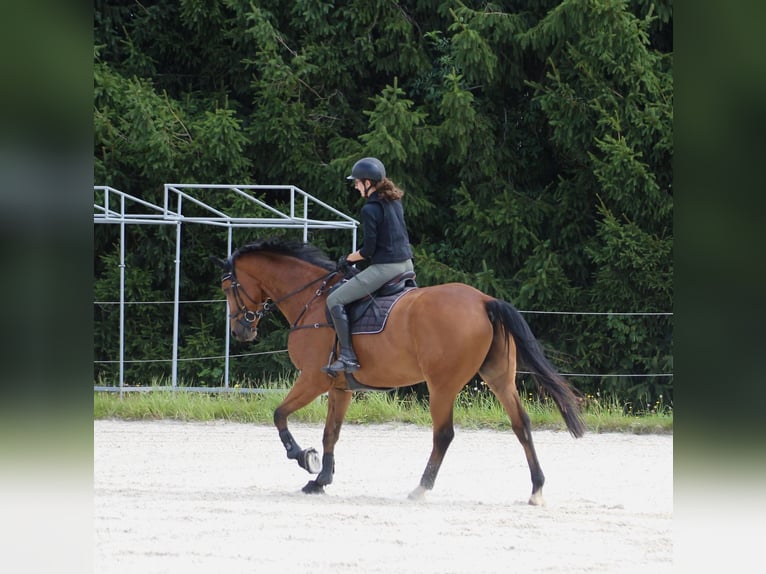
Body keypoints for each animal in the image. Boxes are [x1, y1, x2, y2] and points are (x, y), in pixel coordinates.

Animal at [212, 237, 585, 504]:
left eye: (228, 288)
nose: (241, 331)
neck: (313, 299)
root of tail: (482, 300)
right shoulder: (339, 387)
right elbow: (331, 433)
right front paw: (320, 480)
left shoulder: (313, 379)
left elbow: (279, 414)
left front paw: (304, 458)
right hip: (499, 378)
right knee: (521, 425)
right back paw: (536, 489)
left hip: (442, 385)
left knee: (444, 434)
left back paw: (421, 488)